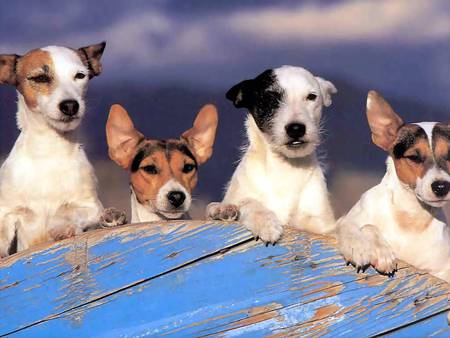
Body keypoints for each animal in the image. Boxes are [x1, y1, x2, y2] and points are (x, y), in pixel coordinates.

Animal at [0, 43, 119, 258]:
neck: (49, 151)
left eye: (80, 75)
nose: (70, 105)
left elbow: (69, 211)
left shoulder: (91, 206)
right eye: (40, 78)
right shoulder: (6, 212)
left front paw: (62, 226)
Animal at [207, 65, 338, 243]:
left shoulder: (322, 226)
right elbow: (248, 202)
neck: (284, 167)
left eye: (311, 97)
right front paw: (266, 223)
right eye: (270, 99)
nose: (296, 129)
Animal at [338, 90, 450, 282]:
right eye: (414, 157)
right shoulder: (345, 221)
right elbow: (365, 226)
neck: (411, 217)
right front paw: (366, 248)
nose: (442, 187)